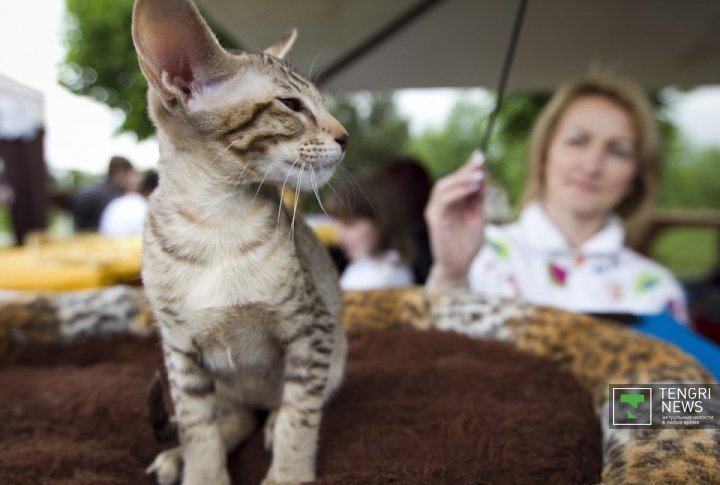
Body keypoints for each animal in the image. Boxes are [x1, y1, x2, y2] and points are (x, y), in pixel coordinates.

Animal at [133, 0, 352, 484]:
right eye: (291, 104)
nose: (346, 136)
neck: (216, 224)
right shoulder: (180, 351)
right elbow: (198, 427)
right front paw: (201, 472)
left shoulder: (313, 331)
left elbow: (299, 416)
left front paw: (288, 474)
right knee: (233, 416)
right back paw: (177, 455)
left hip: (336, 355)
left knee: (275, 409)